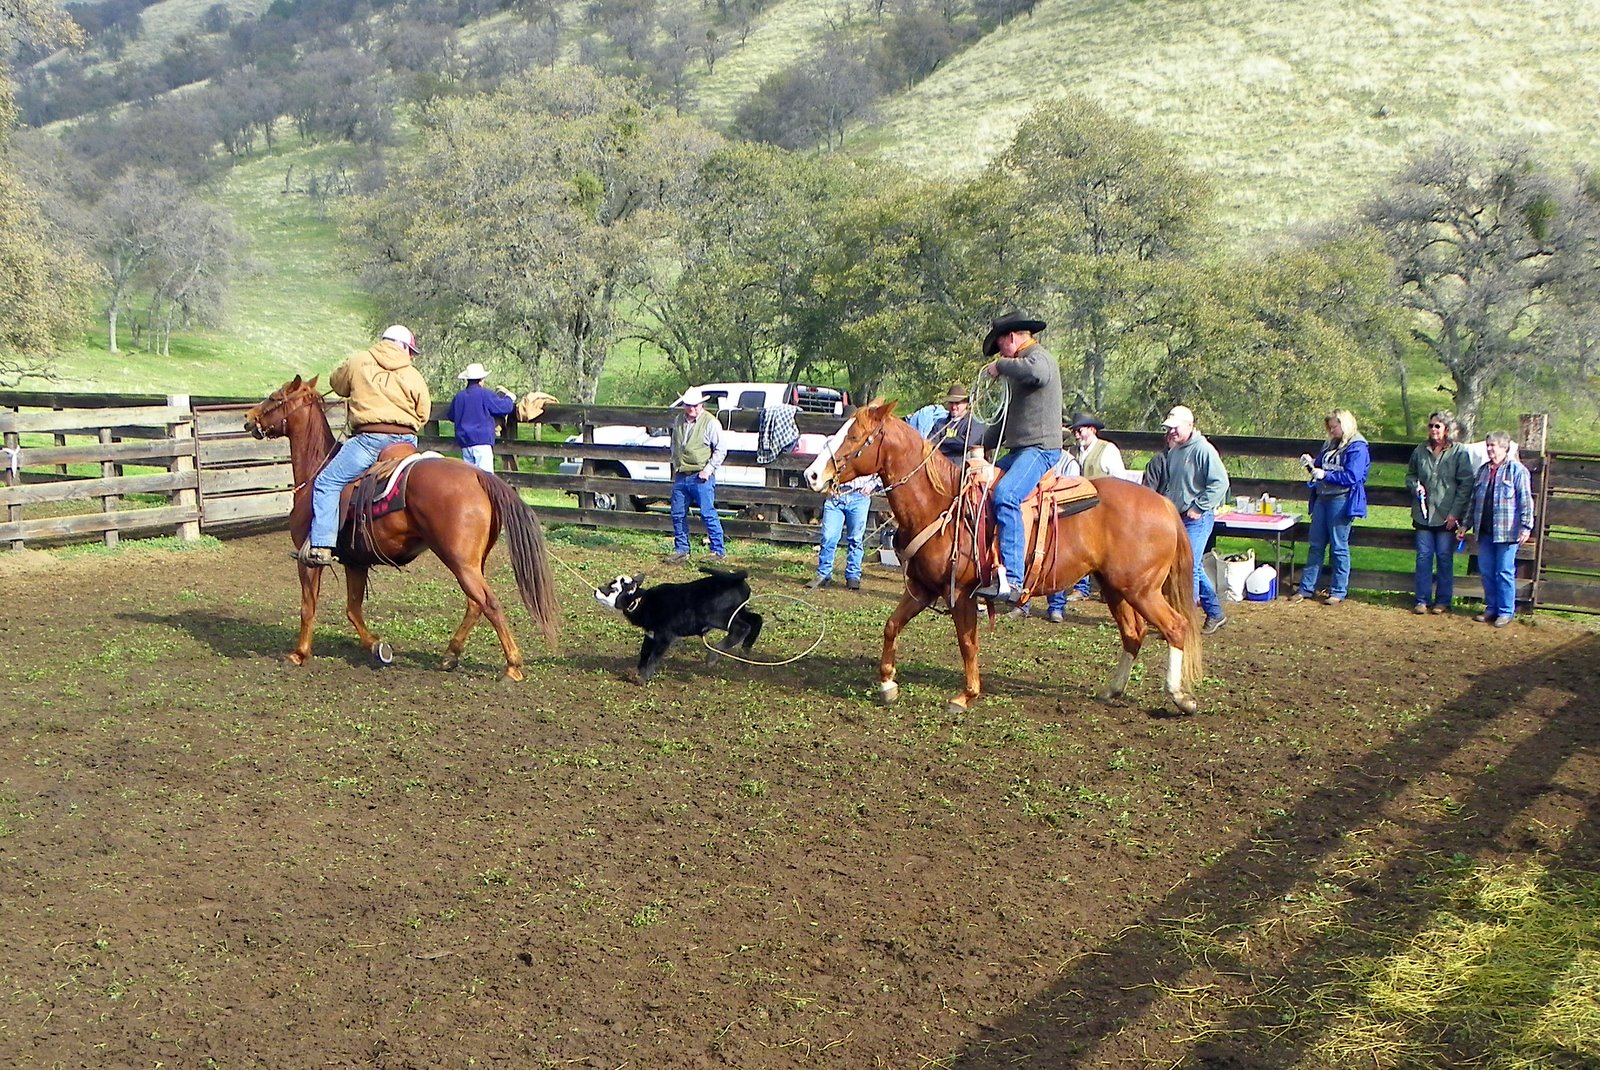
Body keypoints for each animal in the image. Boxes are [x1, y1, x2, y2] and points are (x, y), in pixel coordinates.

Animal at [243, 375, 559, 679]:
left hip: (460, 561)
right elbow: (353, 609)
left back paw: (512, 667)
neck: (317, 469)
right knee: (475, 604)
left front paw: (299, 654)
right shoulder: (356, 562)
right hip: (472, 562)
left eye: (275, 397)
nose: (248, 416)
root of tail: (478, 476)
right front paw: (376, 646)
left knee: (489, 603)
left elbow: (308, 607)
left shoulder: (308, 560)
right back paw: (450, 655)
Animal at [594, 566, 764, 682]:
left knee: (742, 628)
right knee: (756, 620)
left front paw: (643, 678)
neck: (643, 601)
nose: (596, 590)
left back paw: (713, 656)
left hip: (718, 617)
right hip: (739, 612)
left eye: (613, 588)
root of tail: (736, 578)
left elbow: (654, 656)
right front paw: (637, 672)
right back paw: (744, 656)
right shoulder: (650, 634)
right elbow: (644, 653)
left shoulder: (665, 636)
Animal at [804, 399, 1203, 715]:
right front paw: (887, 685)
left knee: (1175, 627)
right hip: (1115, 588)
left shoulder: (961, 593)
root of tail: (1164, 504)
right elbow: (891, 625)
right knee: (1134, 634)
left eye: (855, 437)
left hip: (1141, 589)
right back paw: (1112, 689)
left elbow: (967, 643)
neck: (941, 504)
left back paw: (1180, 698)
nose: (811, 474)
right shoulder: (921, 588)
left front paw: (966, 696)